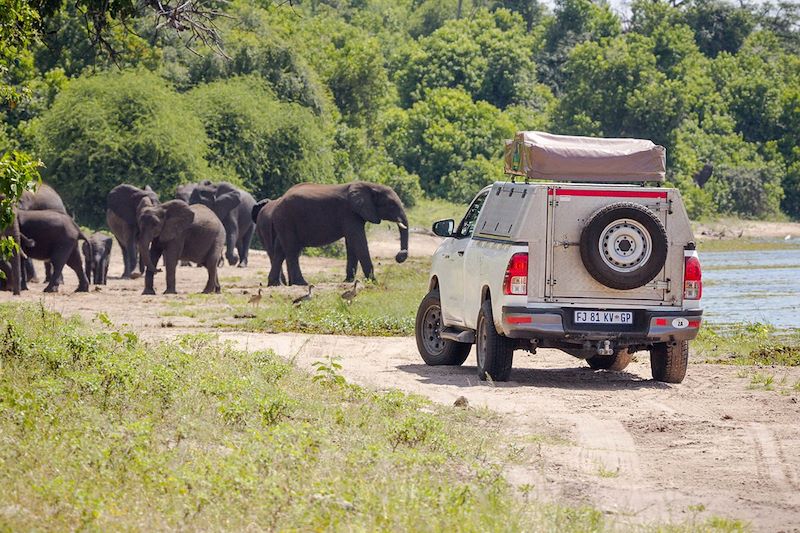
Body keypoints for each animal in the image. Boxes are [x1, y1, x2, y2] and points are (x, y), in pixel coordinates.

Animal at [253, 181, 410, 284]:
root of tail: (277, 202)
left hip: (283, 223)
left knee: (280, 250)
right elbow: (358, 240)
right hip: (287, 219)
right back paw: (301, 283)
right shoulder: (349, 214)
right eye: (391, 205)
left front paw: (348, 281)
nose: (400, 255)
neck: (371, 185)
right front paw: (373, 282)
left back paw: (275, 284)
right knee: (291, 250)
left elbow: (351, 244)